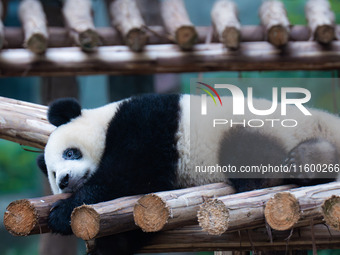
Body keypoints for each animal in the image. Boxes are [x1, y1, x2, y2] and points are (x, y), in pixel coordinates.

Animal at [37, 94, 340, 255]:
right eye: (52, 173)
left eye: (70, 153)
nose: (64, 180)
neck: (105, 121)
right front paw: (108, 245)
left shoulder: (146, 123)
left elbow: (125, 174)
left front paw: (61, 214)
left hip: (265, 128)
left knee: (250, 156)